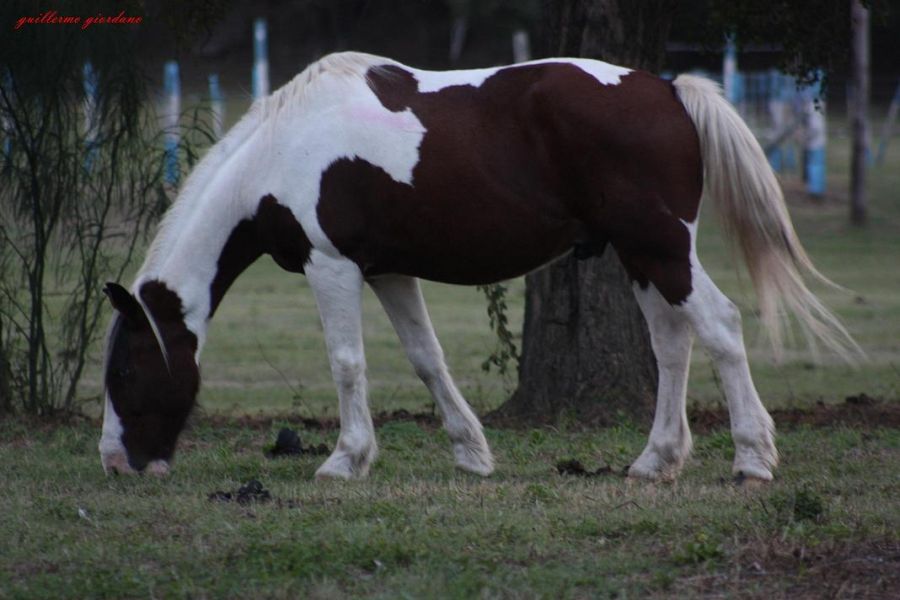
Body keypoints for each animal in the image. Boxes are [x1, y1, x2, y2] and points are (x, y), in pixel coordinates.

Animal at [100, 51, 856, 482]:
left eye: (127, 373)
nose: (116, 462)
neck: (284, 150)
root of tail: (667, 90)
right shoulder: (388, 271)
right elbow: (425, 358)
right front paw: (471, 453)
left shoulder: (331, 266)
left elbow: (347, 363)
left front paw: (344, 460)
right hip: (640, 255)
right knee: (672, 345)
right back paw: (654, 461)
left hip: (663, 247)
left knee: (722, 327)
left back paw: (753, 459)